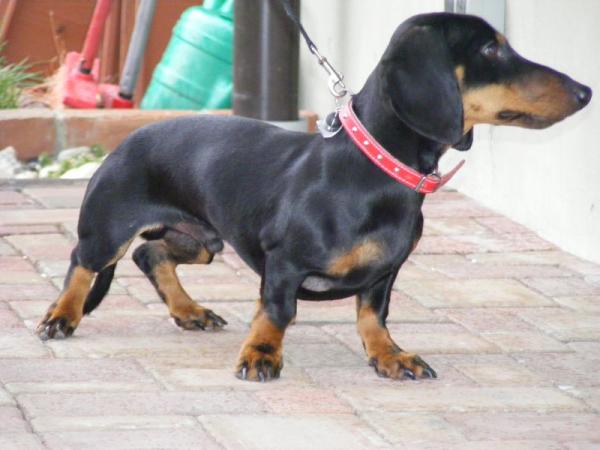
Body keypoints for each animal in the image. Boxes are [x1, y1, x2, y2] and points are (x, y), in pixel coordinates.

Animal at [37, 13, 591, 382]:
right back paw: (61, 317)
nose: (586, 91)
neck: (375, 174)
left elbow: (373, 315)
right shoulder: (284, 263)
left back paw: (190, 311)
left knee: (151, 254)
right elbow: (278, 311)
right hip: (108, 225)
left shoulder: (385, 274)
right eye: (492, 50)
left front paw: (389, 356)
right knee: (83, 263)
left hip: (202, 241)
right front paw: (261, 353)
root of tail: (127, 140)